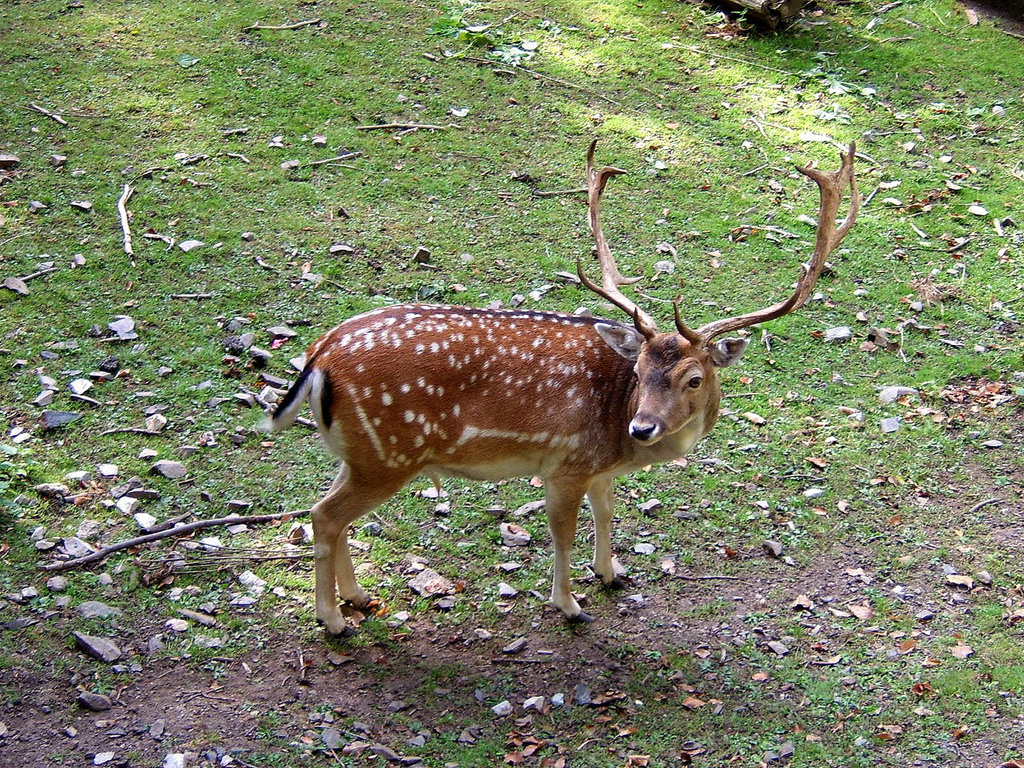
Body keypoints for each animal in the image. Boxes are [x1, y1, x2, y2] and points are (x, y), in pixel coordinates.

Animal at [270, 141, 856, 634]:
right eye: (639, 372)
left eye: (693, 377)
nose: (642, 427)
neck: (616, 435)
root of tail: (319, 357)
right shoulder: (565, 463)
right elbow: (563, 533)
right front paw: (569, 604)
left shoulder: (598, 468)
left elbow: (607, 512)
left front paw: (612, 573)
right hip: (388, 453)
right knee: (325, 515)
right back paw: (333, 620)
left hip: (361, 451)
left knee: (328, 511)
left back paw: (358, 597)